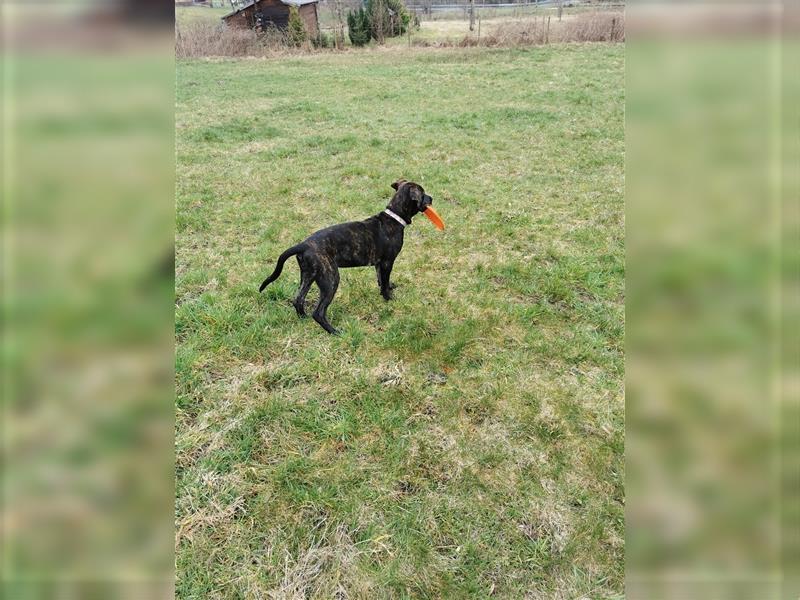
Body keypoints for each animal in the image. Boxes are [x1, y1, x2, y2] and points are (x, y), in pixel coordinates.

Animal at [258, 180, 434, 336]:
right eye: (423, 193)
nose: (432, 198)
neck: (394, 217)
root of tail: (304, 245)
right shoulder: (387, 262)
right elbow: (384, 283)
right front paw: (389, 298)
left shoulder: (378, 264)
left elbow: (381, 280)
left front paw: (388, 289)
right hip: (331, 279)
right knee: (319, 312)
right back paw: (334, 332)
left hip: (308, 276)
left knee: (298, 299)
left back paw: (303, 319)